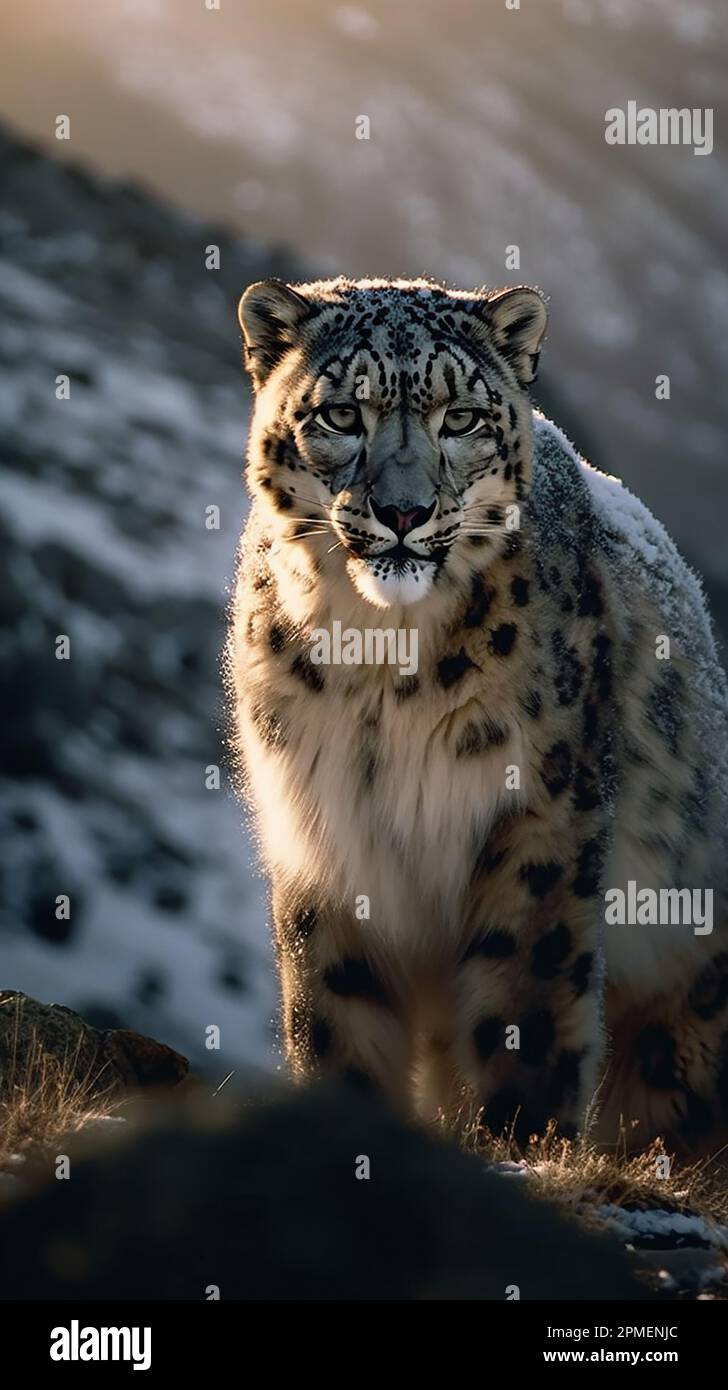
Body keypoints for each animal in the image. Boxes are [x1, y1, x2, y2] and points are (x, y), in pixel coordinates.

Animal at [227, 275, 728, 1157]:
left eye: (460, 418)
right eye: (341, 414)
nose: (402, 511)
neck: (378, 666)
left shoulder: (542, 813)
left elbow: (528, 998)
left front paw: (523, 1140)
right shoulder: (322, 829)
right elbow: (333, 1011)